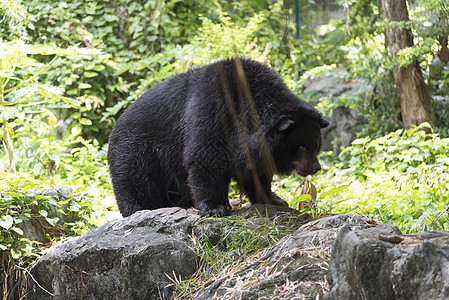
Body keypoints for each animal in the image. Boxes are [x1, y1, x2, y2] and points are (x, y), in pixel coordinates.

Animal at [107, 57, 328, 217]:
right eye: (301, 147)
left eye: (315, 145)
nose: (315, 167)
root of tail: (115, 126)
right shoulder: (213, 111)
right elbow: (205, 158)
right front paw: (215, 207)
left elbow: (255, 172)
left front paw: (273, 199)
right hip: (136, 153)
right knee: (136, 184)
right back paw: (138, 210)